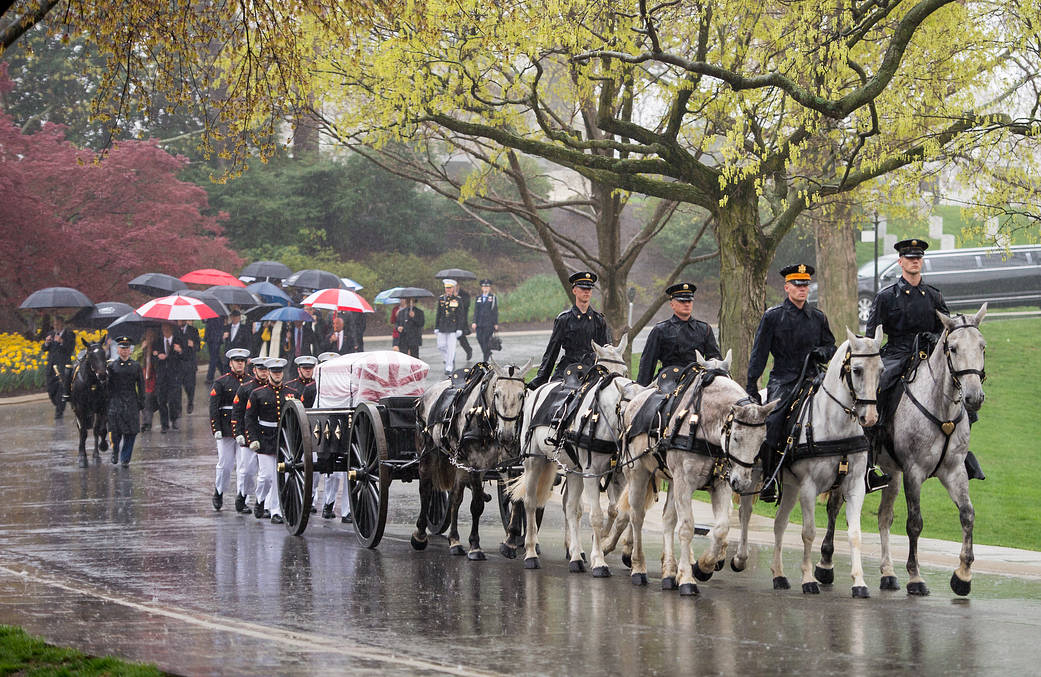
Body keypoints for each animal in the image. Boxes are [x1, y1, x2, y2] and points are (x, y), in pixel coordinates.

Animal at [497, 333, 632, 574]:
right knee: (529, 502)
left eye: (624, 371)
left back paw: (575, 555)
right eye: (603, 369)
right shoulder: (591, 472)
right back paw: (530, 551)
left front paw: (605, 543)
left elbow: (616, 512)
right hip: (534, 462)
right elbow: (595, 515)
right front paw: (599, 560)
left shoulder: (616, 475)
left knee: (570, 507)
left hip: (571, 468)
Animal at [612, 349, 778, 591]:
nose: (743, 483)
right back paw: (639, 567)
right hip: (637, 473)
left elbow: (721, 528)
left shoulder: (720, 483)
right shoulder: (684, 482)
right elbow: (687, 527)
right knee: (636, 516)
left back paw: (669, 571)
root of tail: (634, 402)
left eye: (761, 440)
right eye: (737, 438)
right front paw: (687, 579)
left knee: (667, 519)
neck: (702, 424)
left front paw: (703, 566)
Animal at [770, 327, 882, 595]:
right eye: (857, 370)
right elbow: (808, 532)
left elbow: (854, 534)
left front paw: (859, 582)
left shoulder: (854, 486)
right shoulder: (809, 488)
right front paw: (808, 578)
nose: (870, 417)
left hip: (791, 486)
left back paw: (778, 575)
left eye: (881, 370)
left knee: (779, 523)